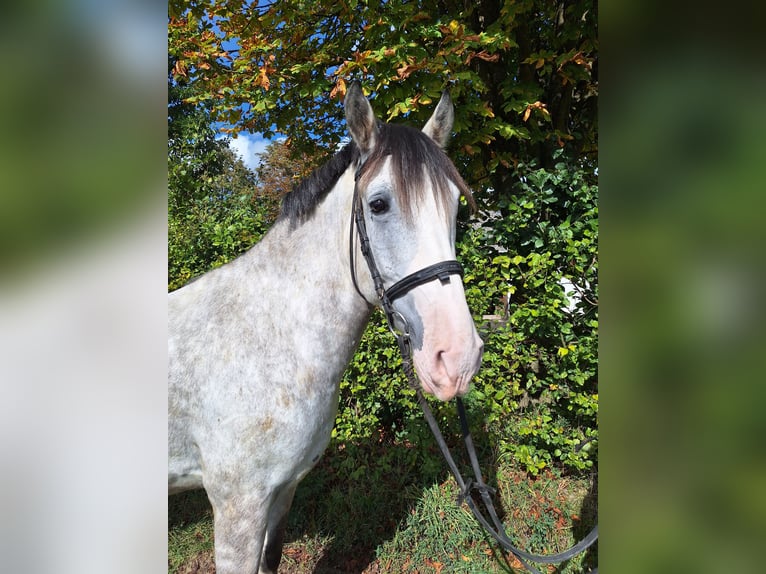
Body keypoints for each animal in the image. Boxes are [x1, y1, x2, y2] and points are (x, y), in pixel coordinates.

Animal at [170, 82, 486, 574]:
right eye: (378, 204)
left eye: (454, 207)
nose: (457, 357)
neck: (273, 340)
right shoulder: (238, 505)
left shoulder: (283, 490)